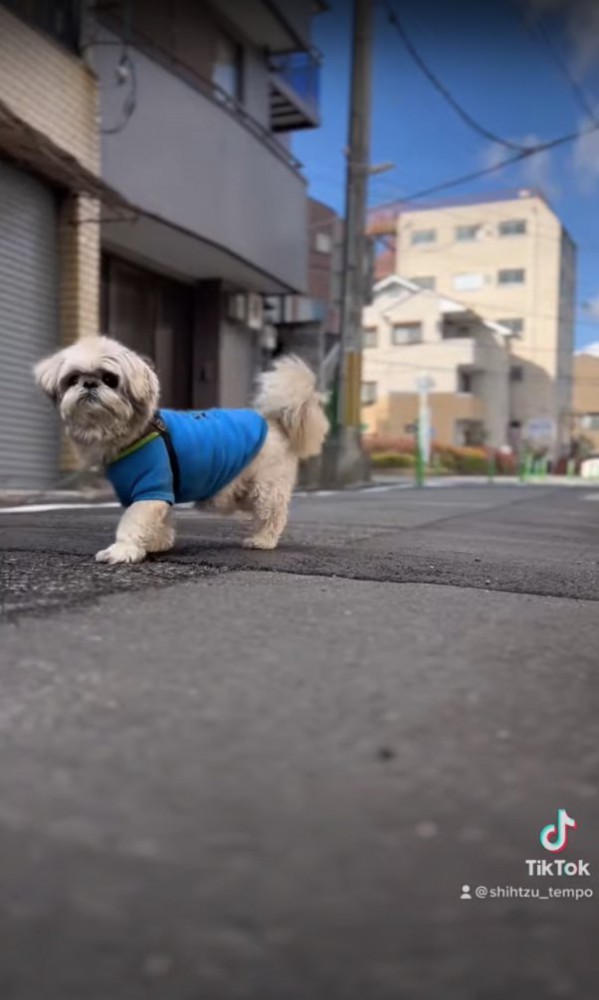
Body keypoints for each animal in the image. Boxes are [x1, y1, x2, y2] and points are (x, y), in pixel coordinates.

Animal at [35, 336, 330, 564]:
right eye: (72, 379)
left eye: (109, 378)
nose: (89, 384)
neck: (134, 433)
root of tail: (275, 421)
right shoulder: (160, 492)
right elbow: (161, 521)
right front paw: (156, 543)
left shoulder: (150, 488)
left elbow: (132, 522)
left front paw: (123, 550)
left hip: (263, 487)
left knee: (273, 515)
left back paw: (261, 540)